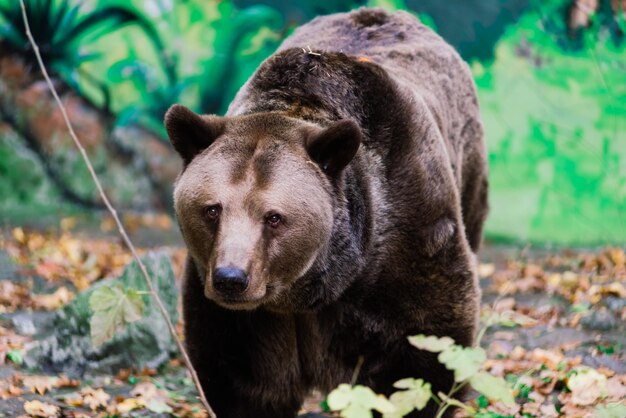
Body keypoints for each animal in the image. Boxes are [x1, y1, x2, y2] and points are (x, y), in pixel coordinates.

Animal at [163, 7, 486, 418]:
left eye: (274, 217)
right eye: (212, 209)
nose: (231, 279)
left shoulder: (401, 233)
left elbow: (422, 353)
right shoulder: (241, 316)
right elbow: (241, 379)